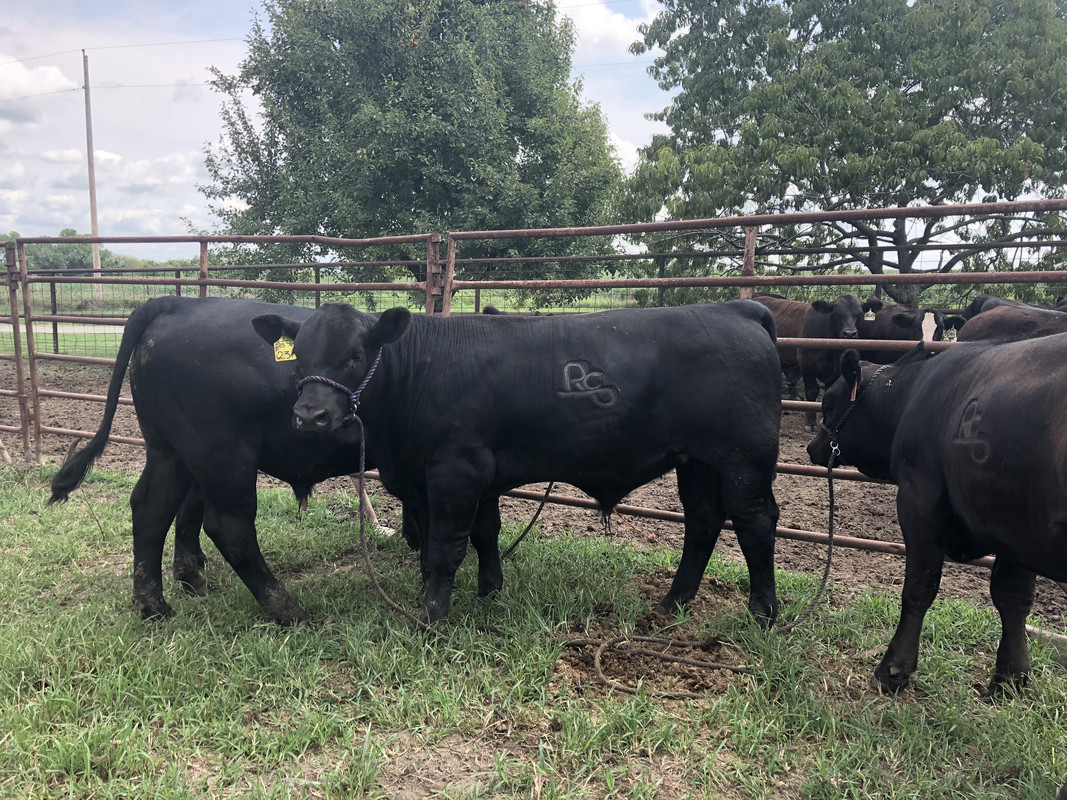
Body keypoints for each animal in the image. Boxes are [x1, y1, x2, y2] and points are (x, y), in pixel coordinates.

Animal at [48, 296, 454, 624]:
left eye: (356, 357)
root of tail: (178, 303)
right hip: (222, 455)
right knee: (229, 528)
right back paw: (285, 610)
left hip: (170, 452)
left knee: (153, 510)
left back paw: (157, 603)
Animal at [252, 300, 784, 626]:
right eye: (298, 357)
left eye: (357, 354)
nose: (310, 415)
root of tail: (738, 308)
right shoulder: (466, 475)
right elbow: (482, 535)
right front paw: (488, 592)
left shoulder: (456, 471)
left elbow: (445, 548)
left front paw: (432, 618)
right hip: (697, 461)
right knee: (703, 520)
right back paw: (673, 603)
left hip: (744, 459)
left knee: (756, 521)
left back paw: (763, 612)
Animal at [753, 293, 867, 431]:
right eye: (835, 313)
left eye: (859, 314)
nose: (850, 334)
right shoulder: (807, 363)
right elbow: (812, 391)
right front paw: (810, 422)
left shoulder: (837, 368)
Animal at [806, 337, 1067, 694]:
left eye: (828, 404)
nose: (811, 447)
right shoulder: (1014, 528)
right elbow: (1013, 598)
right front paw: (1010, 678)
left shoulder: (919, 503)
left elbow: (919, 588)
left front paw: (893, 669)